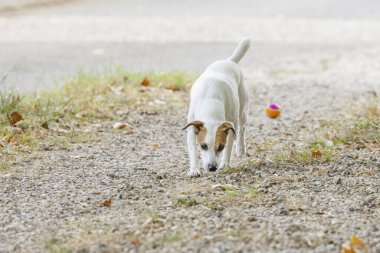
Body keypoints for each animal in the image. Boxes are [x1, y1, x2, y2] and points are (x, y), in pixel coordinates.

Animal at [183, 38, 251, 177]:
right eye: (203, 146)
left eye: (220, 147)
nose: (212, 167)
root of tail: (230, 61)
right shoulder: (192, 129)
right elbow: (192, 151)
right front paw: (194, 170)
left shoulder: (229, 127)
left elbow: (229, 147)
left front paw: (225, 164)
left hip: (242, 111)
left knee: (241, 129)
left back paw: (240, 148)